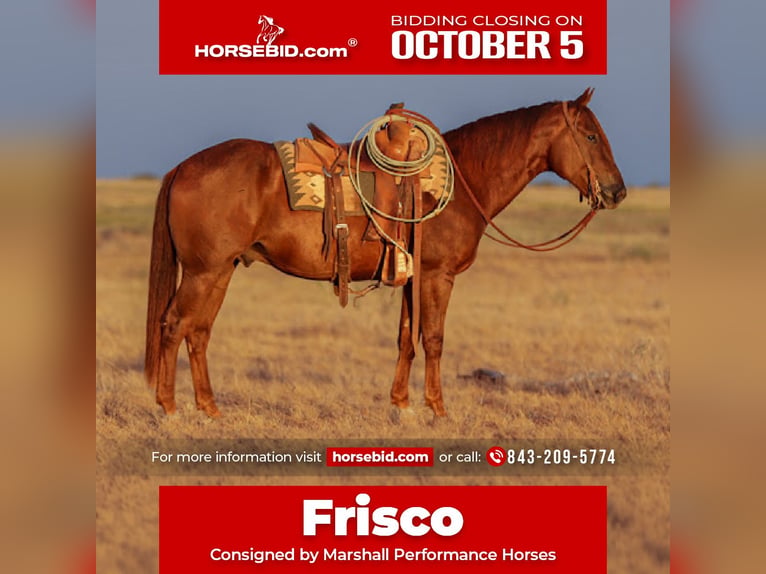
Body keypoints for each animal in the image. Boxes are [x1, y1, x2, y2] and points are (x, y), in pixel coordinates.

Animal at [144, 88, 626, 419]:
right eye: (590, 135)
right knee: (173, 325)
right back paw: (169, 410)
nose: (617, 191)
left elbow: (406, 338)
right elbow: (433, 338)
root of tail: (184, 166)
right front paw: (438, 409)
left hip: (221, 270)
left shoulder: (412, 275)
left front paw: (402, 406)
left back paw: (209, 408)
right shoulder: (437, 275)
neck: (461, 182)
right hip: (204, 272)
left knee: (198, 332)